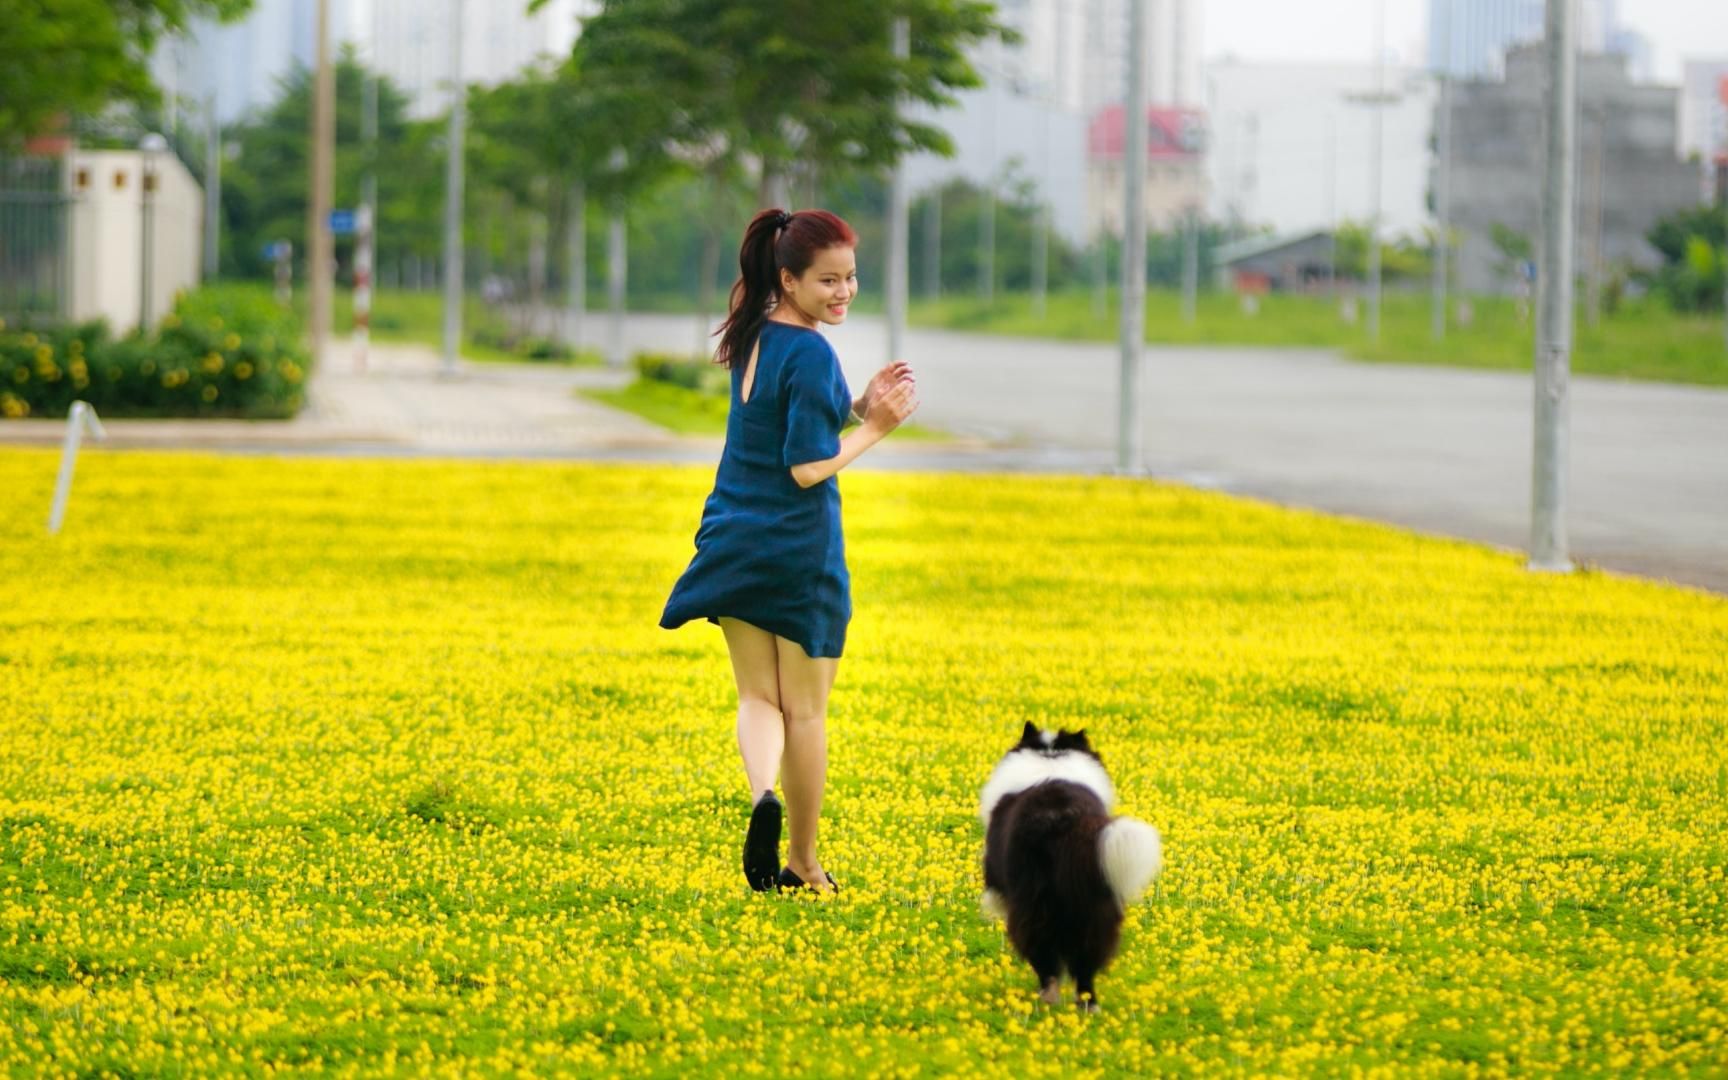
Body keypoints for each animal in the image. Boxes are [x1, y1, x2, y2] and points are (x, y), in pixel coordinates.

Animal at [988, 718, 1161, 1009]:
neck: (1051, 758)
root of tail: (1065, 819)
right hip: (1096, 904)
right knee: (1086, 963)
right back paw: (1088, 1004)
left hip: (1035, 905)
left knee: (1045, 957)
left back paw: (1048, 996)